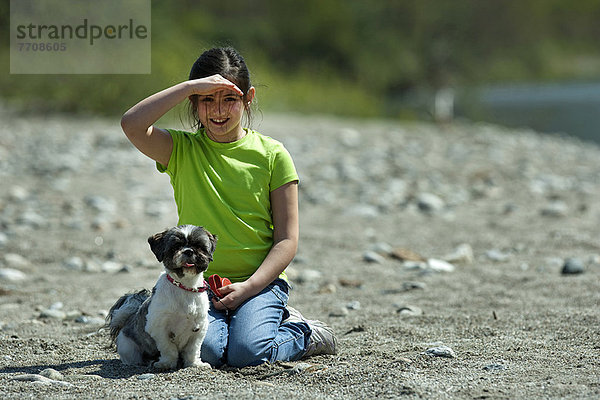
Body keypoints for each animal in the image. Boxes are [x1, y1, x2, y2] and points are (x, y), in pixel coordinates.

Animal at [106, 225, 217, 368]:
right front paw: (166, 363)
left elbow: (193, 349)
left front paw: (194, 364)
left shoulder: (199, 328)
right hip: (128, 347)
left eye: (198, 246)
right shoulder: (159, 328)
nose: (188, 251)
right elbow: (168, 348)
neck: (184, 287)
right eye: (175, 247)